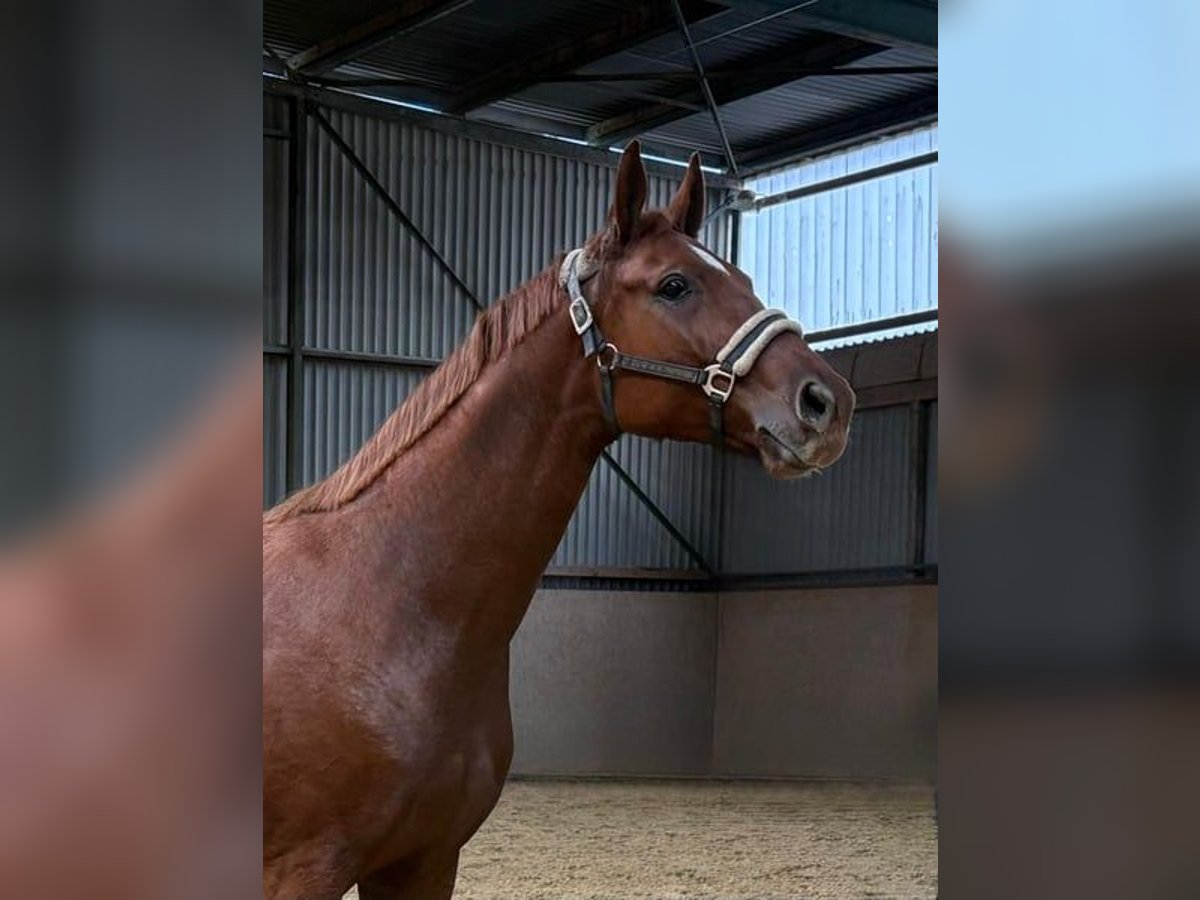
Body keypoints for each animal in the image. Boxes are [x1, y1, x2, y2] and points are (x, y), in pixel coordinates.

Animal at [262, 141, 856, 899]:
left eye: (744, 278)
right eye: (674, 286)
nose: (827, 402)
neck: (385, 603)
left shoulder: (425, 860)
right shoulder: (302, 871)